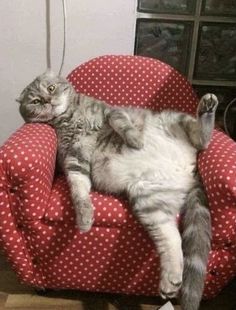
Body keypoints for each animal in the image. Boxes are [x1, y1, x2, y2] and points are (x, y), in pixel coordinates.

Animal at [17, 70, 218, 310]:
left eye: (50, 88)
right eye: (36, 101)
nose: (48, 100)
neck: (71, 117)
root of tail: (189, 170)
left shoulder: (111, 111)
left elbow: (119, 121)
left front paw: (135, 140)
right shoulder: (74, 159)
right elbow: (78, 191)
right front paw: (84, 217)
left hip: (172, 118)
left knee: (202, 140)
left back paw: (206, 108)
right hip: (149, 200)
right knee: (172, 239)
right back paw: (170, 280)